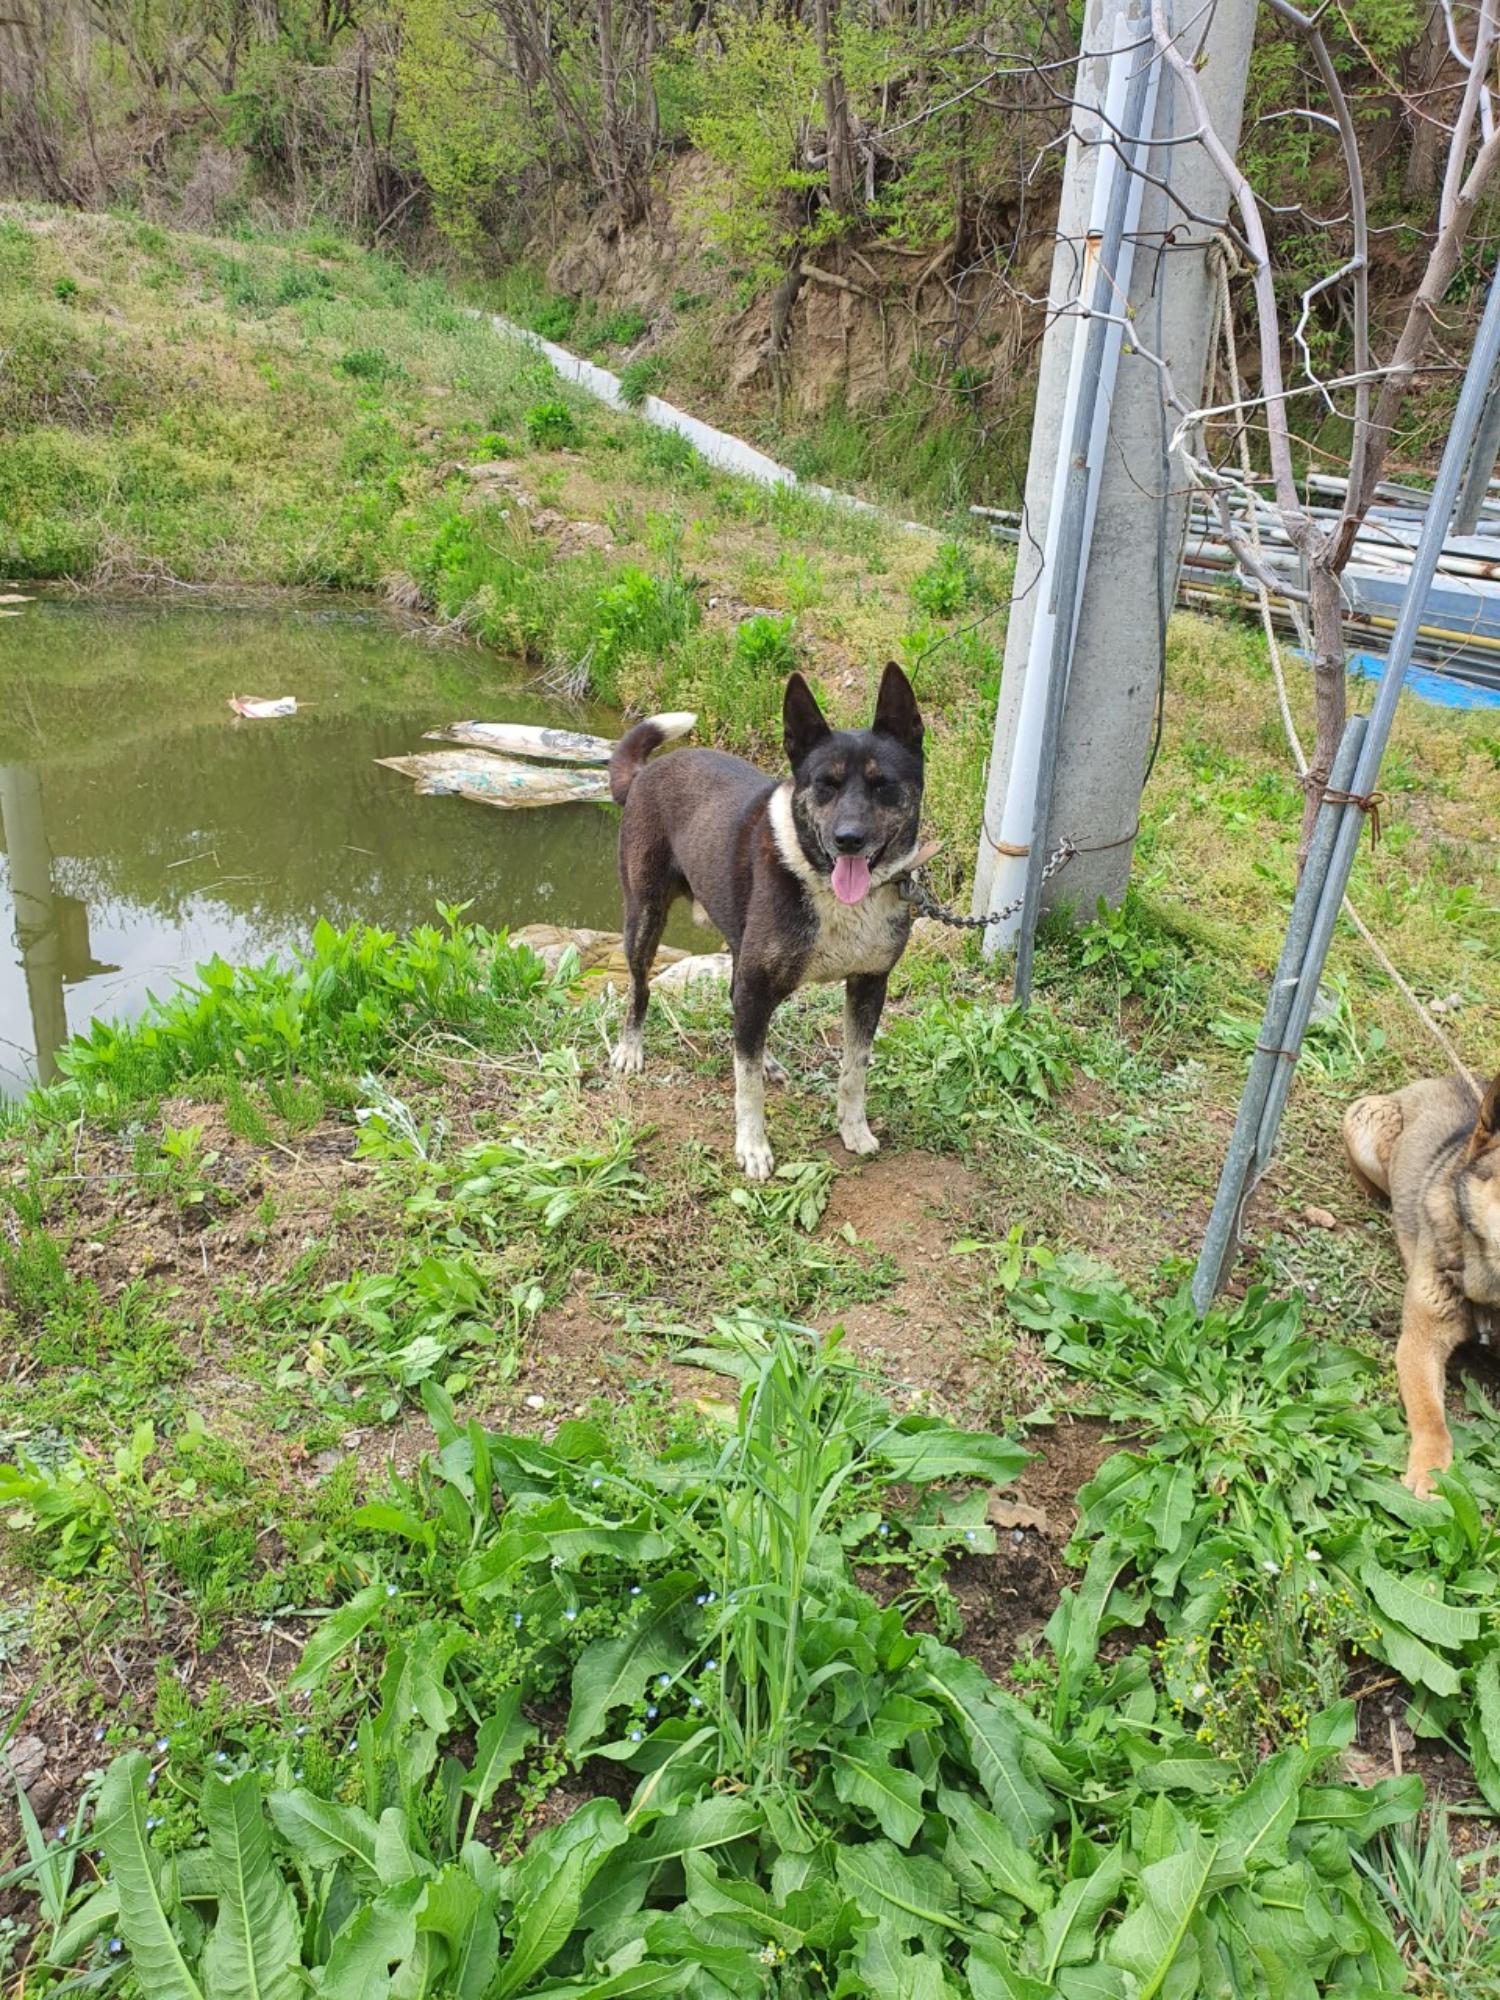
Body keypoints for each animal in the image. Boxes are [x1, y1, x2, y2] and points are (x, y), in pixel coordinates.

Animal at [604, 664, 924, 1176]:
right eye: (825, 784)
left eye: (882, 784)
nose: (848, 839)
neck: (822, 878)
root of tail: (644, 774)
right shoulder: (759, 981)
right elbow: (746, 1084)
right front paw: (752, 1147)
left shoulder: (870, 983)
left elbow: (854, 1068)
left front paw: (854, 1129)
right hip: (644, 915)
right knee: (641, 987)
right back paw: (631, 1048)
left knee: (739, 1010)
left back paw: (766, 1056)